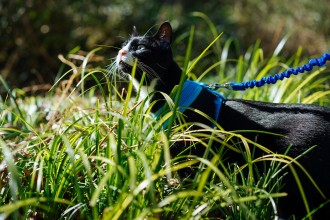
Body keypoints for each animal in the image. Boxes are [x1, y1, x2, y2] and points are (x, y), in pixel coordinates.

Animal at [114, 21, 330, 218]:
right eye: (124, 44)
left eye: (140, 47)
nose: (121, 52)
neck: (172, 94)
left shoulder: (190, 155)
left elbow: (188, 187)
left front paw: (186, 207)